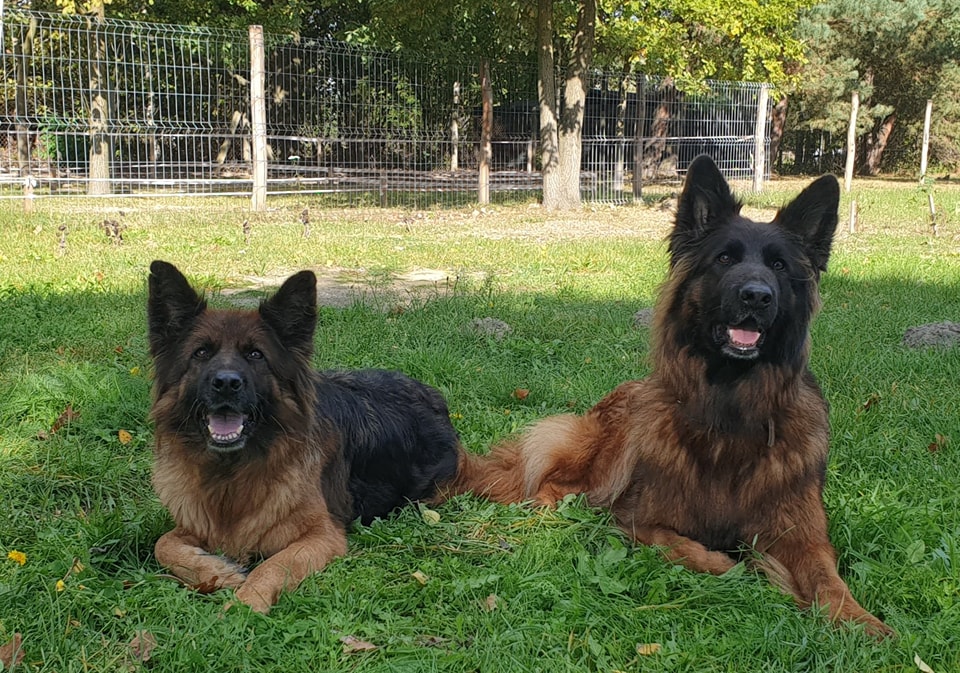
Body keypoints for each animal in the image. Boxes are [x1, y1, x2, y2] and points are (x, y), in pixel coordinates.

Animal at [147, 260, 464, 613]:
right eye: (201, 353)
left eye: (256, 355)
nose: (226, 383)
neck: (232, 474)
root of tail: (433, 396)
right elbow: (163, 544)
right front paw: (217, 570)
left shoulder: (322, 536)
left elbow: (273, 565)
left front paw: (243, 606)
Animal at [453, 155, 893, 637]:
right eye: (724, 258)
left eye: (778, 266)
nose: (755, 296)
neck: (730, 407)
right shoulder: (638, 520)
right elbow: (692, 550)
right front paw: (741, 567)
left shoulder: (803, 533)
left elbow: (827, 576)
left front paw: (860, 621)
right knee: (549, 482)